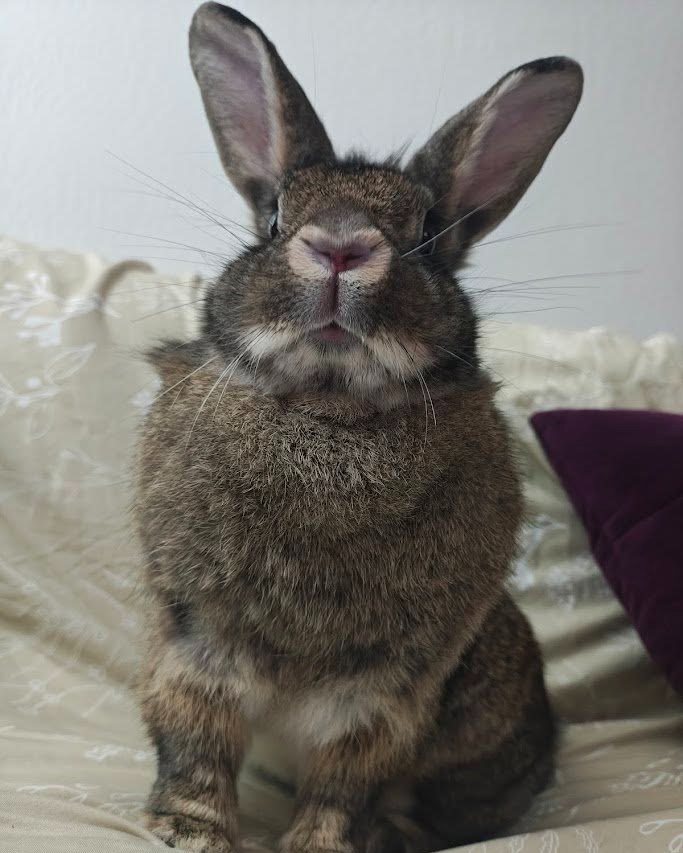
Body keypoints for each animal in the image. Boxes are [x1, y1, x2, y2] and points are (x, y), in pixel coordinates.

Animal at [135, 3, 583, 852]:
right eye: (275, 216)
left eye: (428, 232)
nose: (340, 247)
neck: (330, 404)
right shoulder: (196, 640)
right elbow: (195, 742)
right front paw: (188, 830)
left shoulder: (387, 688)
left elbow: (347, 777)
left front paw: (319, 844)